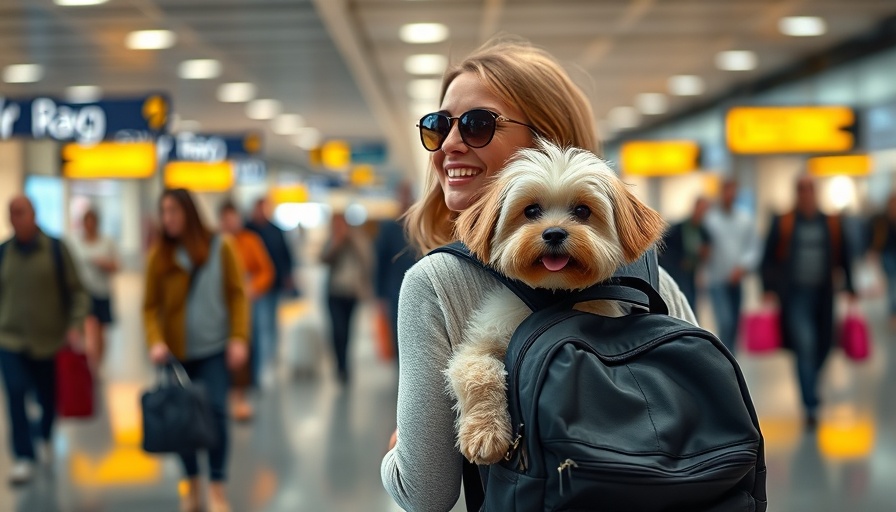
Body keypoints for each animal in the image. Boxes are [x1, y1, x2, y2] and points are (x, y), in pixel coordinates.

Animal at [446, 140, 664, 464]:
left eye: (582, 211)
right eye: (531, 210)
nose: (554, 233)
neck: (553, 294)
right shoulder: (478, 345)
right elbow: (480, 372)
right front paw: (485, 432)